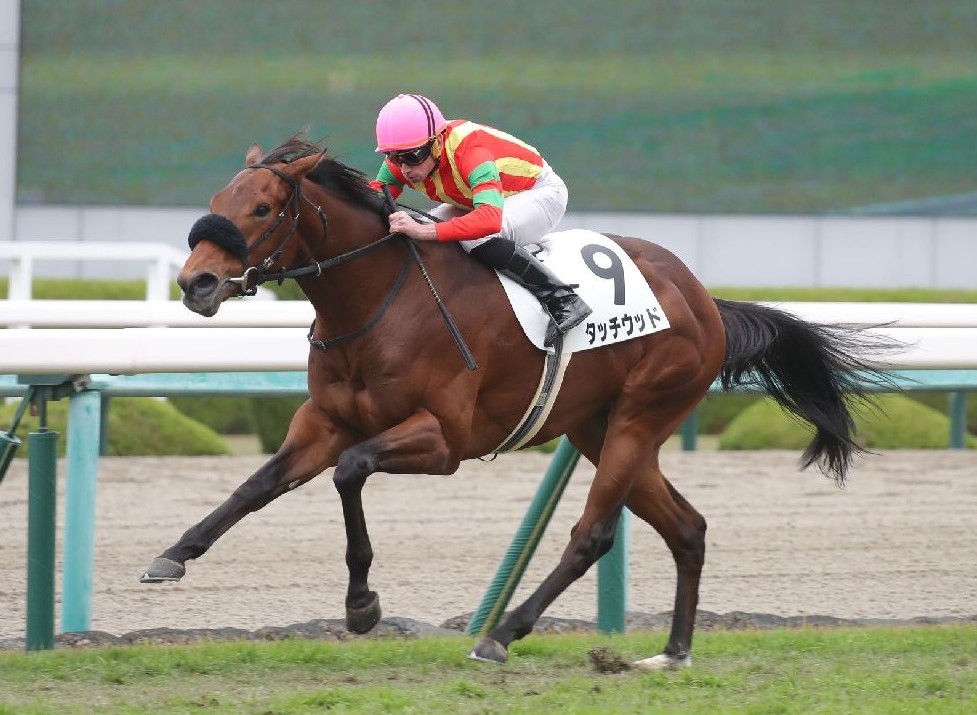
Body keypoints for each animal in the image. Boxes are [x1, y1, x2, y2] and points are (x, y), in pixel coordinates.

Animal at [143, 136, 884, 672]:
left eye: (263, 209)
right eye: (218, 198)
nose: (196, 283)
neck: (379, 298)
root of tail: (704, 299)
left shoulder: (443, 439)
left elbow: (350, 471)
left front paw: (362, 605)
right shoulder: (324, 421)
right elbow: (257, 484)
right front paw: (173, 554)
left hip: (642, 414)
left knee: (593, 534)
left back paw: (502, 633)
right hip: (598, 427)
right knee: (687, 527)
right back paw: (672, 652)